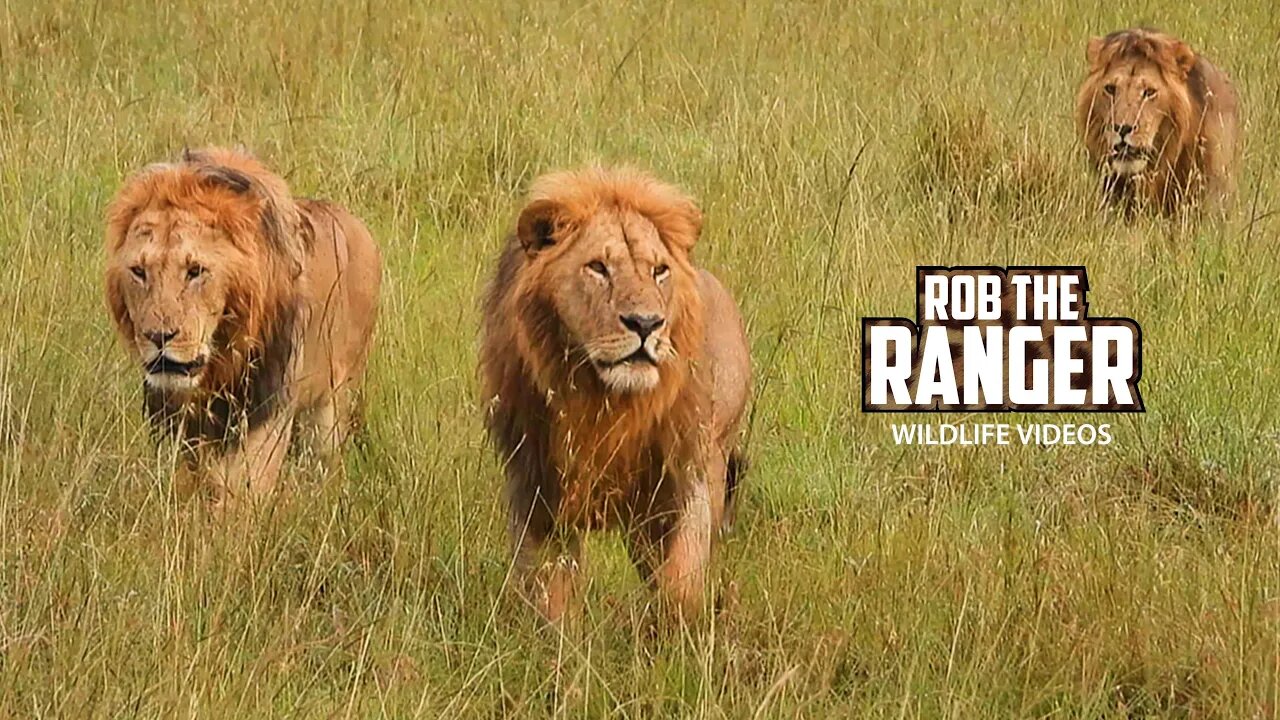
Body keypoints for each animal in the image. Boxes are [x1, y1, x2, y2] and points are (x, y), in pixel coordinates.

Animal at [103, 146, 384, 507]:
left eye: (195, 270)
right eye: (139, 271)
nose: (158, 336)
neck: (218, 366)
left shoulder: (266, 416)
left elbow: (239, 497)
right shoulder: (173, 425)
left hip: (333, 404)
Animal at [483, 165, 752, 620]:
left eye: (659, 270)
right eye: (598, 268)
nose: (646, 323)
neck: (604, 400)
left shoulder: (692, 470)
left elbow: (681, 579)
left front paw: (676, 625)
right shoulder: (534, 483)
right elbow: (548, 586)